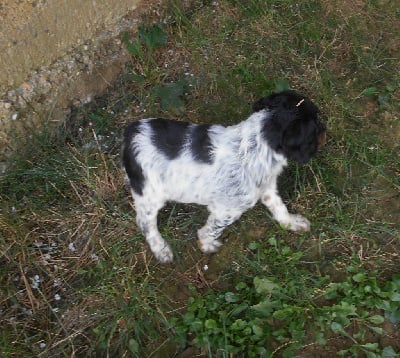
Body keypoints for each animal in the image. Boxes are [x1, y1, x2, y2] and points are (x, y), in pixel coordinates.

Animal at [123, 90, 326, 262]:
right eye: (316, 123)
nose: (326, 127)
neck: (257, 143)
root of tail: (130, 133)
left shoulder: (266, 187)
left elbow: (279, 208)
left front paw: (292, 223)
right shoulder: (227, 209)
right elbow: (212, 230)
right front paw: (207, 245)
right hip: (149, 194)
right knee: (145, 222)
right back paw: (161, 249)